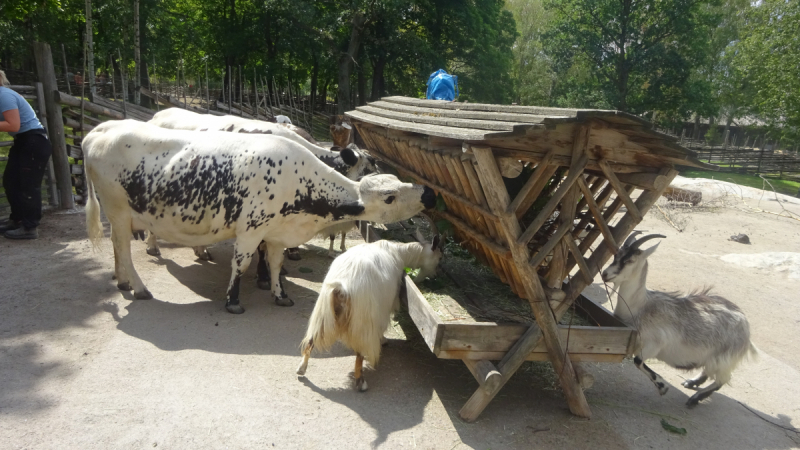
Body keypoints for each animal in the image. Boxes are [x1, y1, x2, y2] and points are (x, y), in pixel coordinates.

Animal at [83, 121, 434, 314]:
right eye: (390, 196)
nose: (428, 193)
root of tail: (98, 131)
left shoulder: (277, 233)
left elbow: (277, 264)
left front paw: (281, 294)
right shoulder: (250, 231)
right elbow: (241, 265)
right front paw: (233, 301)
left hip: (119, 216)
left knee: (117, 248)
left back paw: (123, 281)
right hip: (117, 211)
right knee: (123, 248)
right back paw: (139, 287)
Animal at [296, 236, 440, 390]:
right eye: (440, 257)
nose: (435, 276)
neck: (398, 252)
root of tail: (341, 288)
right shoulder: (385, 306)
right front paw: (383, 340)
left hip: (323, 315)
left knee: (311, 341)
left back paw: (301, 368)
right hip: (362, 321)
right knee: (360, 353)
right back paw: (361, 382)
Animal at [600, 234, 756, 406]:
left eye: (630, 260)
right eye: (616, 255)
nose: (605, 274)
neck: (641, 307)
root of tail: (745, 325)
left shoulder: (653, 344)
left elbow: (638, 361)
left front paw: (663, 386)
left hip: (724, 359)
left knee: (722, 380)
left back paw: (695, 399)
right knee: (709, 372)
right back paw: (691, 382)